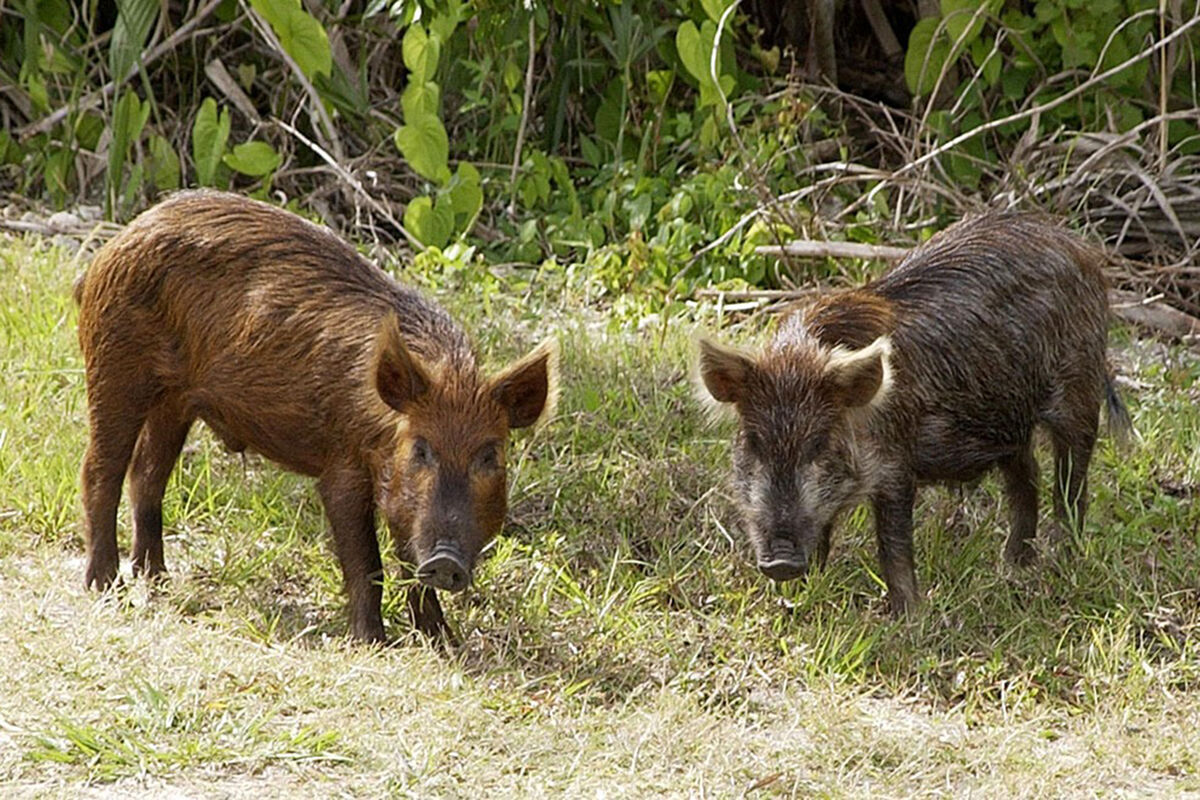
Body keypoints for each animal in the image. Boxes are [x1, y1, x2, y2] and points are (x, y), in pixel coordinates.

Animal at [77, 190, 554, 642]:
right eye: (421, 449)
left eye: (490, 455)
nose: (446, 560)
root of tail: (115, 244)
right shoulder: (342, 468)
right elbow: (366, 562)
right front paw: (372, 642)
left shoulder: (402, 498)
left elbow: (408, 564)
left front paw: (445, 642)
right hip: (115, 365)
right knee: (101, 470)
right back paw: (106, 586)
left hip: (175, 401)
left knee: (147, 475)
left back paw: (157, 579)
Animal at [700, 211, 1128, 614]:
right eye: (754, 442)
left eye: (820, 444)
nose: (780, 563)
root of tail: (1079, 247)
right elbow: (823, 533)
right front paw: (800, 597)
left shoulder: (895, 466)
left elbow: (893, 545)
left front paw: (908, 617)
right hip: (1008, 423)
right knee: (1027, 477)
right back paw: (1014, 565)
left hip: (1078, 394)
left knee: (1071, 487)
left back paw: (1063, 562)